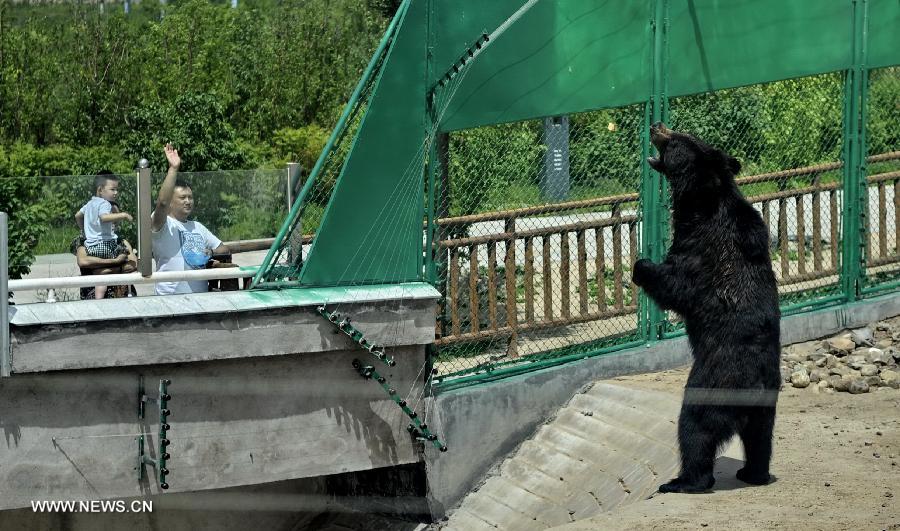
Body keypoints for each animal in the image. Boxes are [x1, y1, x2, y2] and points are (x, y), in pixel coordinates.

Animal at [632, 121, 780, 494]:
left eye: (676, 139)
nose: (656, 125)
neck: (700, 201)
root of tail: (753, 390)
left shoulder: (702, 249)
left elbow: (676, 285)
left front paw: (641, 265)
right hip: (766, 409)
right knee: (760, 441)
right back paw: (753, 473)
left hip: (712, 385)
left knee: (694, 428)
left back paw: (683, 481)